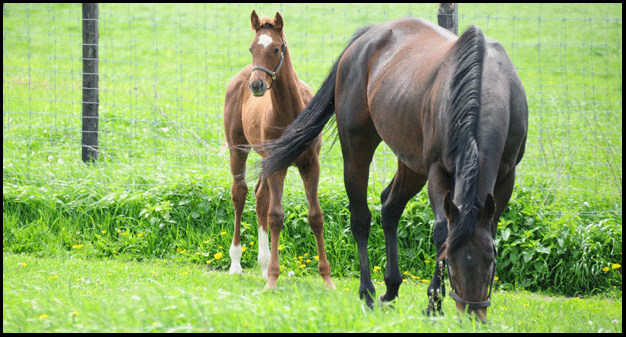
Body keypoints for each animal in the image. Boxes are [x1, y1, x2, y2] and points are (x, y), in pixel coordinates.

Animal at [222, 10, 334, 288]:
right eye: (251, 48)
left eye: (275, 48)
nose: (256, 85)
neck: (291, 112)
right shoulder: (278, 163)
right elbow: (276, 216)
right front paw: (273, 279)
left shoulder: (311, 163)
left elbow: (315, 216)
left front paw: (327, 280)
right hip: (238, 149)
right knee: (240, 193)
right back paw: (237, 264)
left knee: (260, 196)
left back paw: (262, 266)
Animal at [260, 17, 528, 322]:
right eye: (449, 262)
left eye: (491, 259)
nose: (472, 317)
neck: (483, 89)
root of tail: (368, 35)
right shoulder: (438, 171)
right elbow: (441, 230)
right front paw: (434, 304)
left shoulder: (506, 177)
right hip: (358, 152)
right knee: (361, 218)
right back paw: (368, 292)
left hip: (411, 165)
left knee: (390, 206)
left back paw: (391, 288)